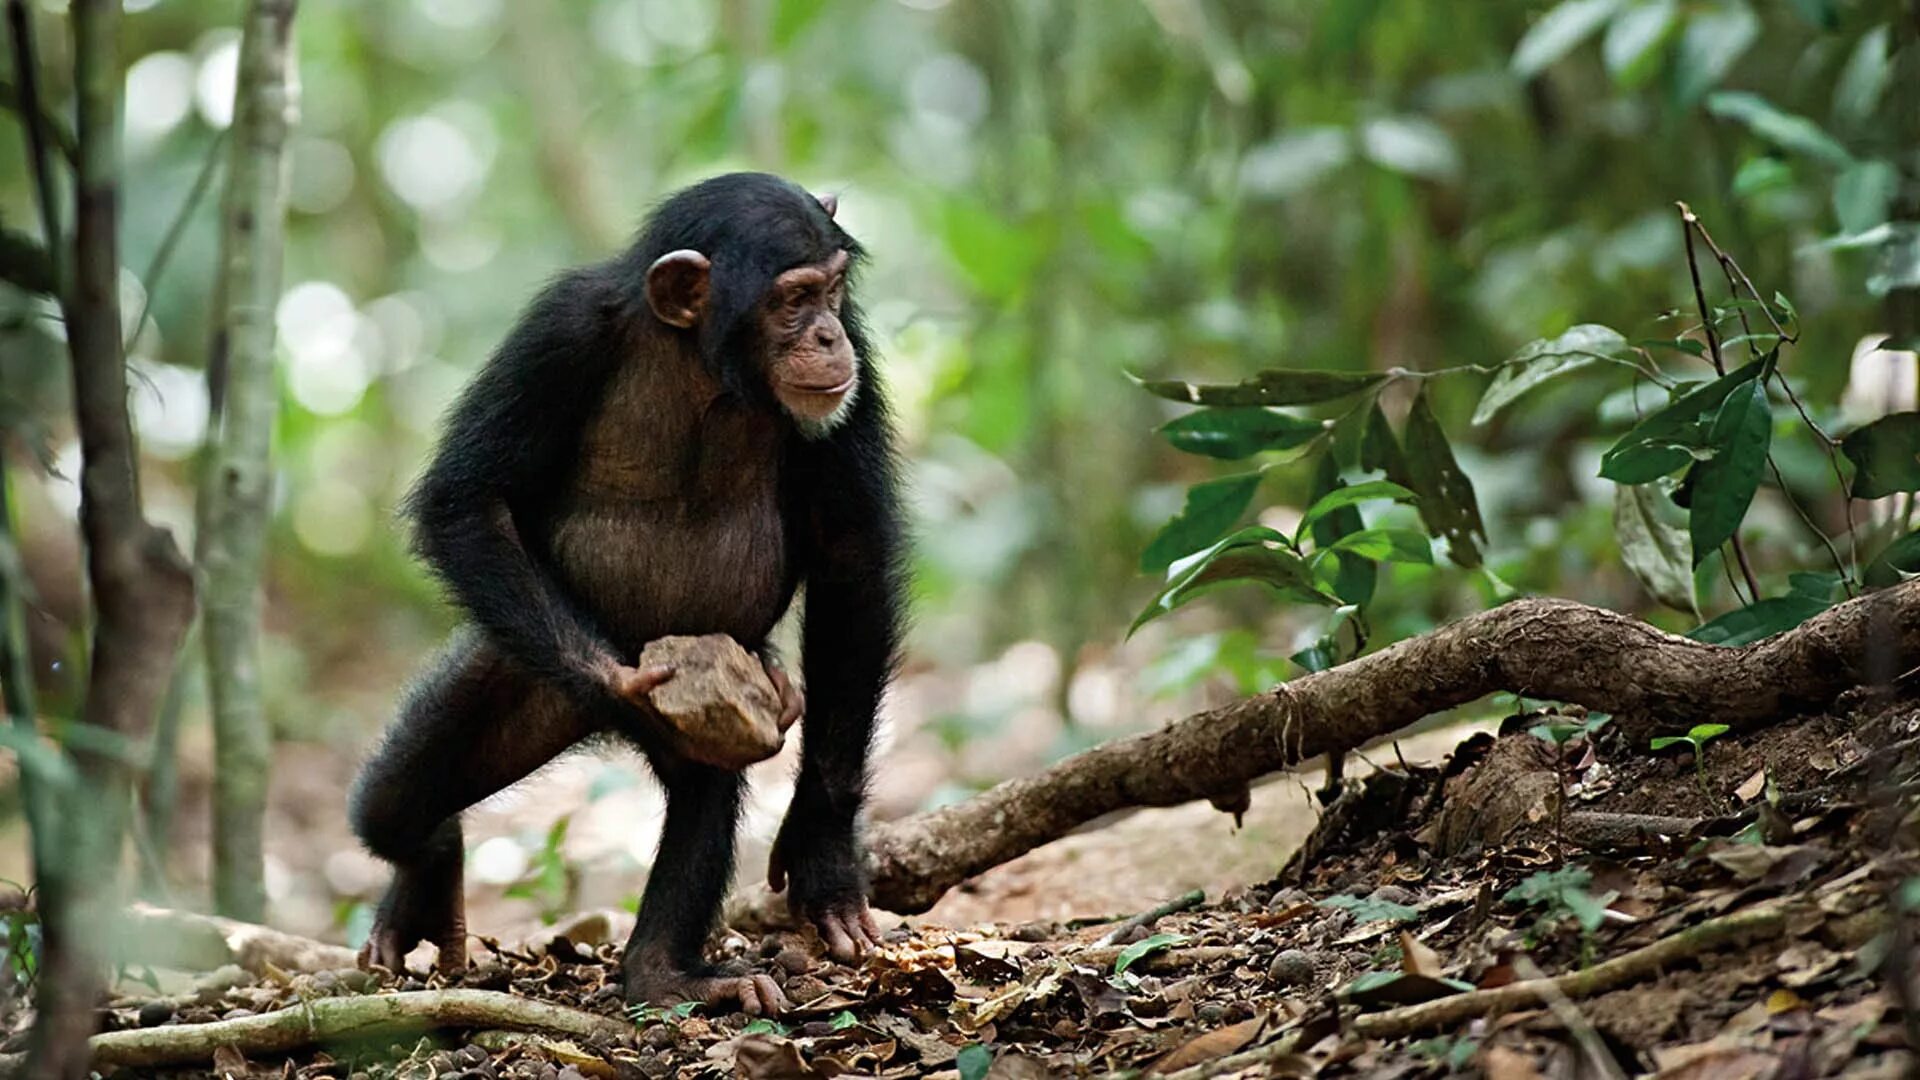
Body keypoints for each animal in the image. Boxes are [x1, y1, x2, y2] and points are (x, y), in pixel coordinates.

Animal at [347, 171, 906, 1014]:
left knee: (703, 792)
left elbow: (849, 555)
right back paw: (433, 865)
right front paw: (626, 685)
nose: (825, 337)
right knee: (393, 807)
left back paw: (661, 970)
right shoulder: (559, 332)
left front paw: (825, 852)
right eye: (792, 300)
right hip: (521, 665)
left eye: (834, 292)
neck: (700, 359)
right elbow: (468, 500)